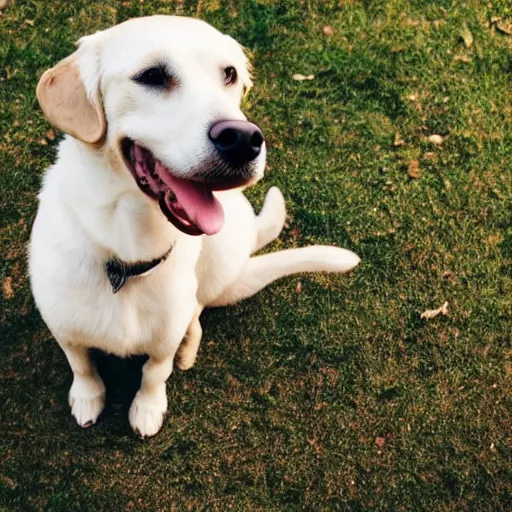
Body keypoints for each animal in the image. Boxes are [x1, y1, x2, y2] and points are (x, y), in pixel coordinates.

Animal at [29, 15, 360, 436]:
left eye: (229, 74)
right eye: (152, 75)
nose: (244, 139)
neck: (125, 254)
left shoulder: (163, 338)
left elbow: (155, 372)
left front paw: (148, 407)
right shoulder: (62, 324)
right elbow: (82, 365)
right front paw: (88, 398)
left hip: (218, 255)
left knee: (198, 309)